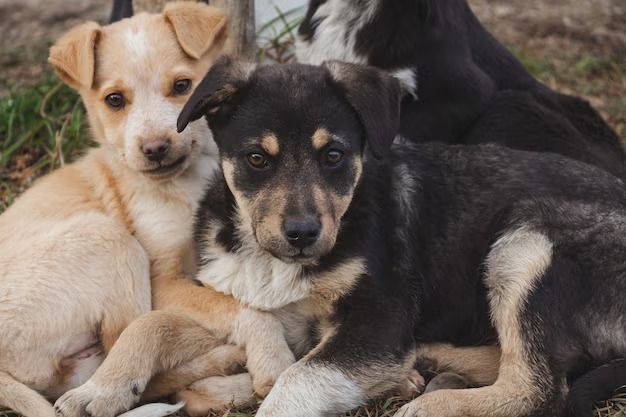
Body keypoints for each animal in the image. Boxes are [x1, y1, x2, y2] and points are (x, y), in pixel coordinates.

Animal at [177, 57, 624, 416]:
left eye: (333, 156)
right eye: (257, 159)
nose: (302, 234)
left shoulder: (380, 318)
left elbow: (298, 379)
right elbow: (261, 327)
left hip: (528, 241)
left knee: (537, 389)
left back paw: (428, 404)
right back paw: (424, 361)